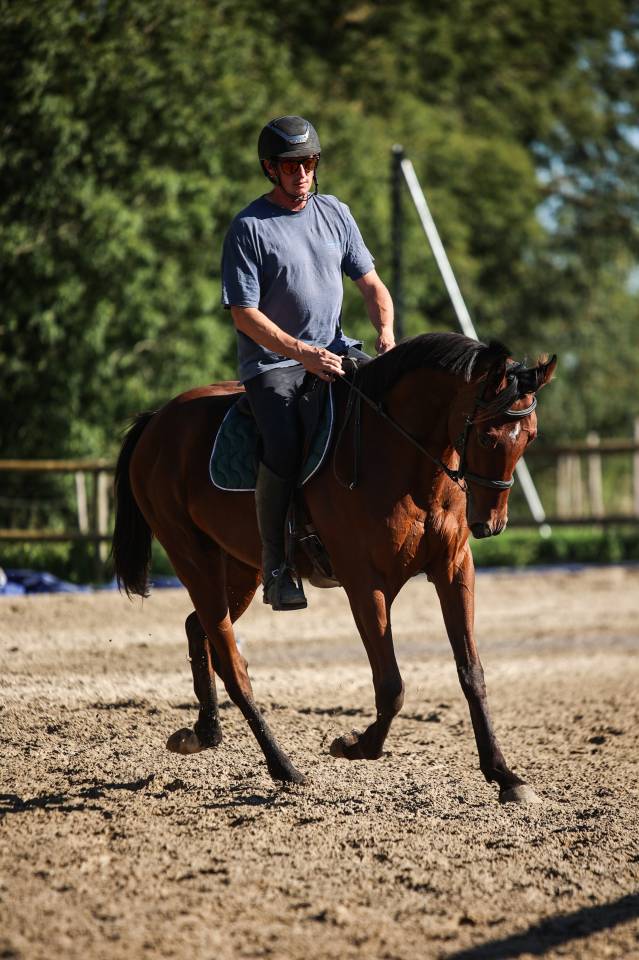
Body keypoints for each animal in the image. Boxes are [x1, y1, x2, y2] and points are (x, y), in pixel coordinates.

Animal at [112, 332, 556, 803]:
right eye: (488, 438)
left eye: (530, 437)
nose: (491, 524)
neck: (404, 460)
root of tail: (158, 421)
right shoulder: (365, 584)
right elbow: (391, 686)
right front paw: (355, 745)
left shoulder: (454, 570)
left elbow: (471, 672)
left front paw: (504, 775)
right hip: (193, 558)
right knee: (232, 663)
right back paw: (284, 767)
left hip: (239, 569)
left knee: (200, 628)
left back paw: (204, 733)